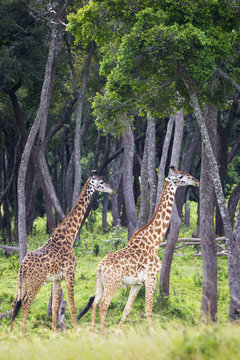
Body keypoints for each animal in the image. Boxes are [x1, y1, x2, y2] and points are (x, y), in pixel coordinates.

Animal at [8, 173, 115, 334]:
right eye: (101, 182)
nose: (113, 190)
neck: (69, 236)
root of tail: (23, 266)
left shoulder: (57, 279)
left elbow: (55, 307)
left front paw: (53, 333)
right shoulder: (70, 273)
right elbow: (72, 306)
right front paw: (76, 332)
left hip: (22, 282)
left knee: (15, 303)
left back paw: (10, 333)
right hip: (36, 282)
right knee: (26, 303)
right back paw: (22, 333)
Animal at [77, 166, 199, 334]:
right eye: (181, 176)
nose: (196, 180)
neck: (154, 240)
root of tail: (100, 267)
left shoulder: (137, 283)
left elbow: (127, 310)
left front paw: (118, 332)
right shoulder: (151, 276)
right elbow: (148, 309)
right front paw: (152, 333)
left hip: (100, 282)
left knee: (95, 303)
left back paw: (94, 333)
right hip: (113, 283)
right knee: (103, 305)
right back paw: (101, 334)